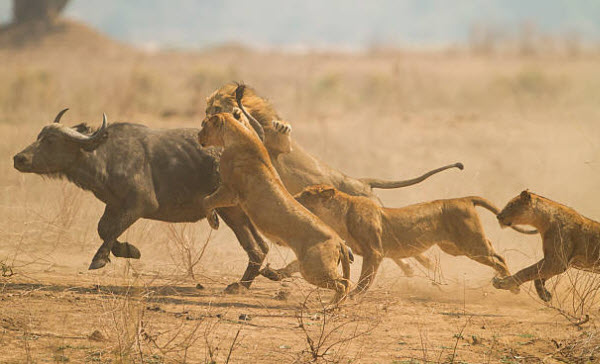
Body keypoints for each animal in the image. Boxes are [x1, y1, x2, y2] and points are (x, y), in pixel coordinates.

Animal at [12, 108, 268, 290]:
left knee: (255, 248)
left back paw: (240, 286)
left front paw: (100, 259)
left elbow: (112, 230)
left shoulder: (140, 205)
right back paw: (250, 281)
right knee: (262, 247)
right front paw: (129, 250)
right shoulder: (113, 204)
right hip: (240, 212)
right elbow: (103, 228)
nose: (19, 159)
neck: (105, 155)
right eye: (39, 136)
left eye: (51, 140)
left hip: (230, 211)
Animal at [197, 107, 354, 304]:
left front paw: (213, 221)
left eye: (204, 125)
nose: (197, 135)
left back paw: (330, 306)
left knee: (342, 284)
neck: (238, 135)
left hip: (313, 268)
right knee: (345, 283)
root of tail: (339, 241)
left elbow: (206, 200)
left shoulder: (230, 191)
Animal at [204, 83, 462, 288]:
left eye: (215, 107)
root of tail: (362, 181)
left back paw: (424, 265)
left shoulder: (279, 148)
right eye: (208, 110)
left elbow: (281, 139)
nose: (205, 117)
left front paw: (280, 126)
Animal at [262, 185, 536, 296]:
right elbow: (294, 266)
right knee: (495, 254)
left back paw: (511, 286)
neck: (339, 214)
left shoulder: (374, 252)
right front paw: (274, 273)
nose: (291, 197)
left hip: (470, 245)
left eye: (306, 194)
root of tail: (464, 198)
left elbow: (365, 279)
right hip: (454, 247)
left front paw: (354, 295)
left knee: (498, 257)